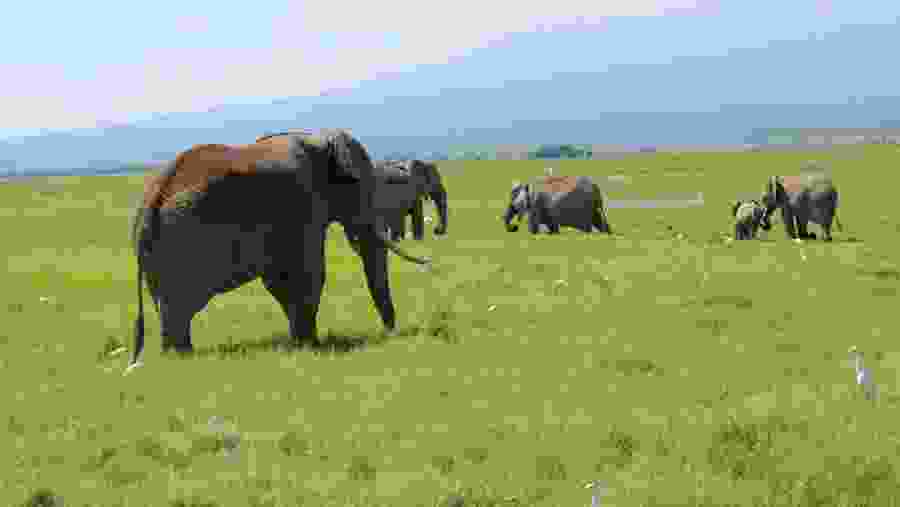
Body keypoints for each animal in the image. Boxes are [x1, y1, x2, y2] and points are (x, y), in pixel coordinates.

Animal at [128, 129, 431, 367]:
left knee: (169, 306)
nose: (391, 333)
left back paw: (178, 356)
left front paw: (301, 344)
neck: (318, 137)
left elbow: (283, 280)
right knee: (179, 305)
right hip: (185, 244)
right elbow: (307, 275)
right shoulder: (303, 205)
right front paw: (311, 346)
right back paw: (183, 357)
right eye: (357, 184)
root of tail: (149, 201)